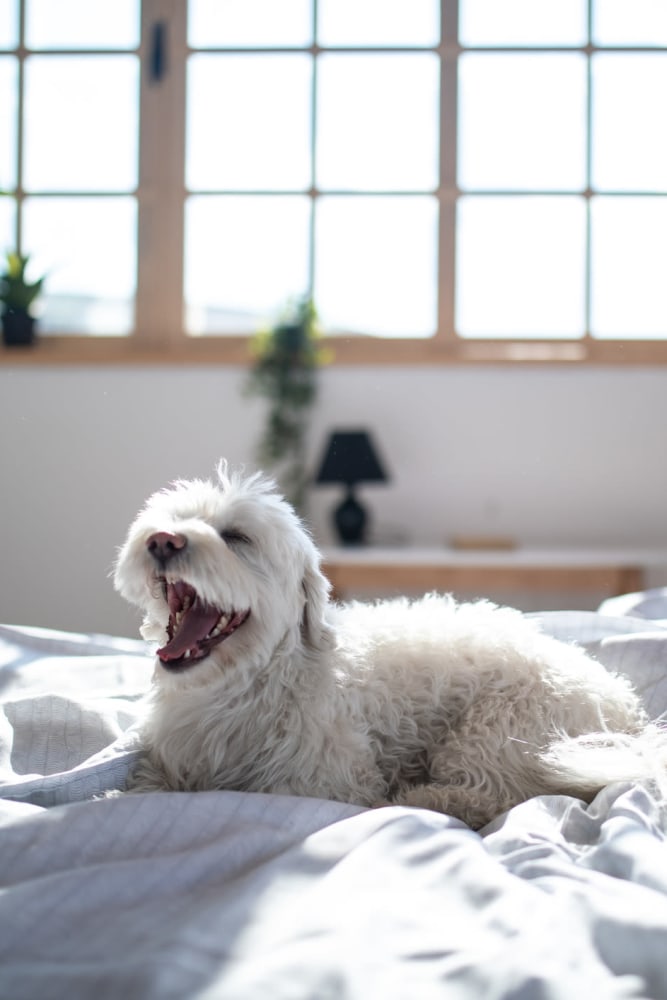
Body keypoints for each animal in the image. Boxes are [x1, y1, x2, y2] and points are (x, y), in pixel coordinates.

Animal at [113, 460, 664, 828]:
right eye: (172, 519)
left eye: (236, 537)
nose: (162, 540)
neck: (246, 685)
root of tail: (626, 708)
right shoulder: (167, 762)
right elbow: (144, 785)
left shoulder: (325, 780)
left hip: (495, 733)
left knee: (492, 797)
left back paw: (415, 799)